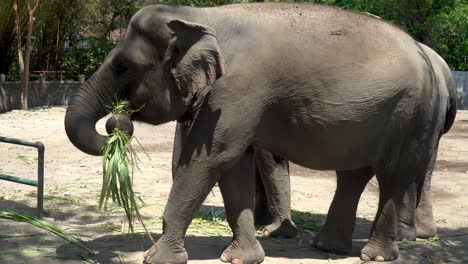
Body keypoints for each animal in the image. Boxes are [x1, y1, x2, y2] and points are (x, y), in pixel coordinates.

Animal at [63, 2, 458, 264]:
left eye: (121, 66)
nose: (118, 120)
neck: (199, 15)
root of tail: (427, 57)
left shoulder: (236, 92)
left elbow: (209, 160)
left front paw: (156, 258)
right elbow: (233, 167)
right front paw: (241, 258)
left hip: (413, 113)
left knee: (394, 174)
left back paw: (374, 256)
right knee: (354, 174)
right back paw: (327, 248)